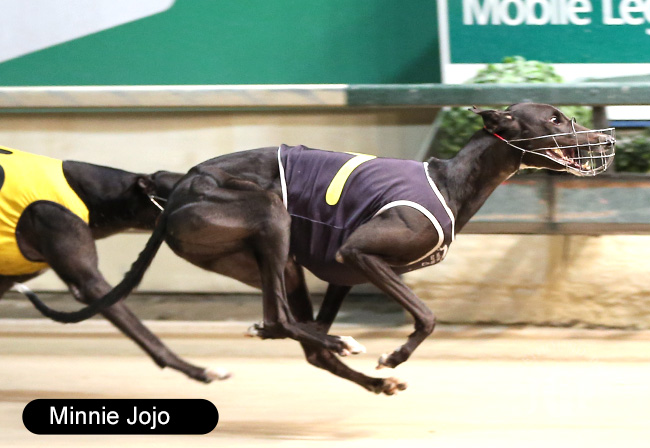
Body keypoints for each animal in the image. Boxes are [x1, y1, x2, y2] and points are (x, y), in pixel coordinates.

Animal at [26, 103, 615, 395]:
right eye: (556, 119)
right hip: (269, 214)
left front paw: (377, 364)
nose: (604, 140)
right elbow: (426, 316)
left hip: (279, 260)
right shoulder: (361, 253)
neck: (451, 180)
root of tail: (179, 189)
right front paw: (391, 354)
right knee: (287, 320)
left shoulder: (340, 271)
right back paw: (346, 348)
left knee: (291, 328)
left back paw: (358, 370)